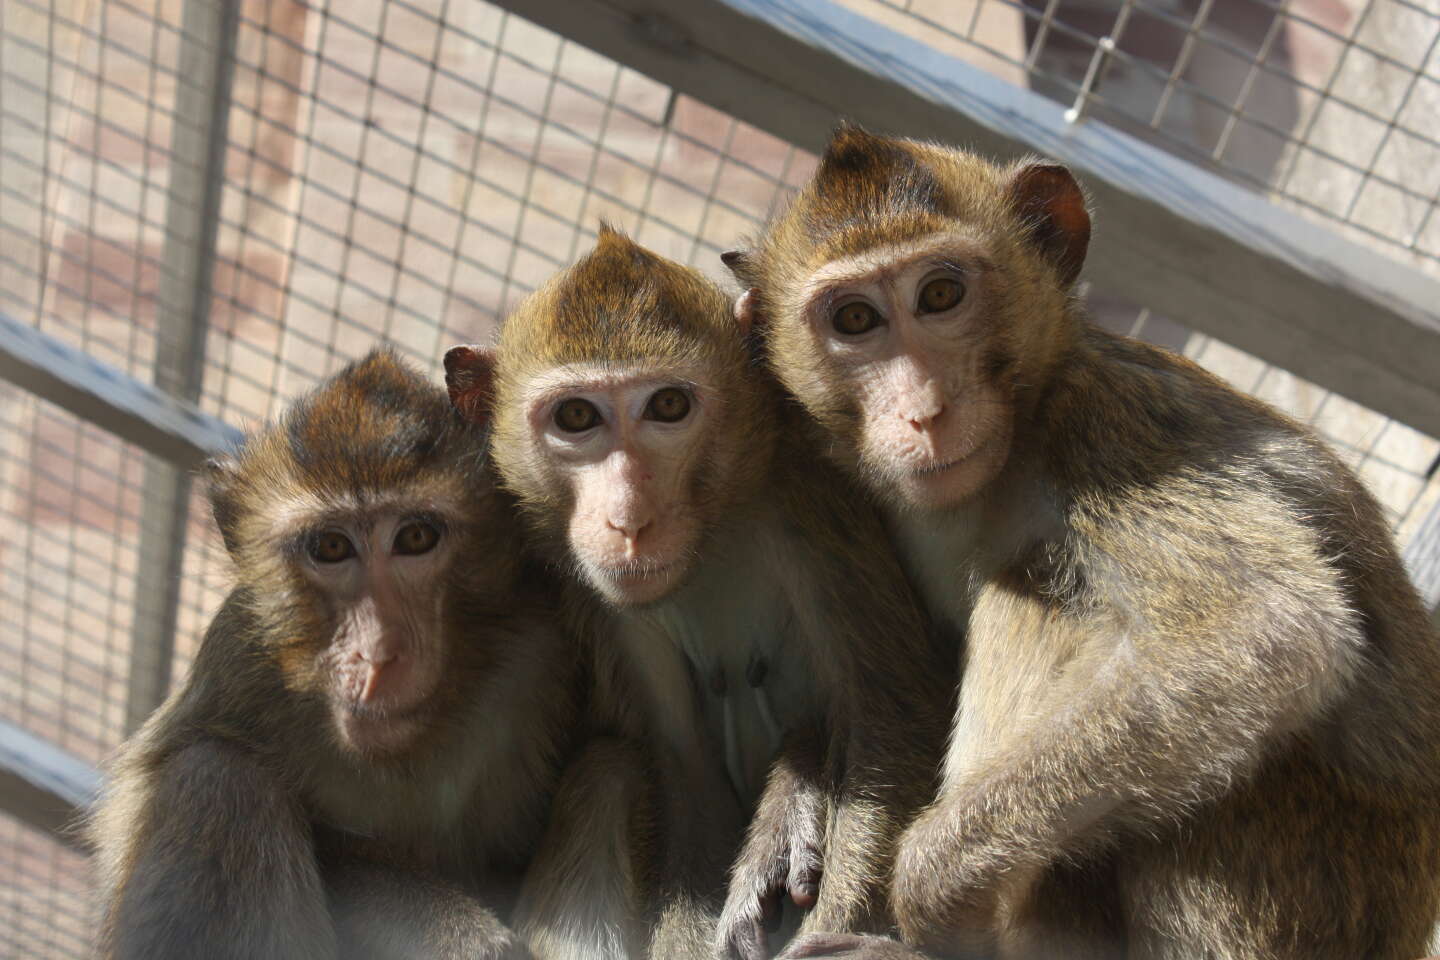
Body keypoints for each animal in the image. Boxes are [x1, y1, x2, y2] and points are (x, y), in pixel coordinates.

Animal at [90, 351, 648, 960]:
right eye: (332, 547)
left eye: (416, 538)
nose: (377, 653)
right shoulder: (239, 658)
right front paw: (455, 936)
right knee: (218, 777)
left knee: (609, 772)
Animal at [443, 228, 950, 960]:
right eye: (576, 416)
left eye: (668, 407)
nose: (629, 519)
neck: (709, 539)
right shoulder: (606, 608)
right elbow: (686, 783)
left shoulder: (809, 500)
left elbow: (891, 715)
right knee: (607, 774)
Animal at [720, 122, 1440, 960]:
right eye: (856, 320)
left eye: (941, 295)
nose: (923, 409)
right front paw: (792, 799)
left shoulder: (1107, 422)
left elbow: (1268, 632)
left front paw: (930, 899)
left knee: (1031, 596)